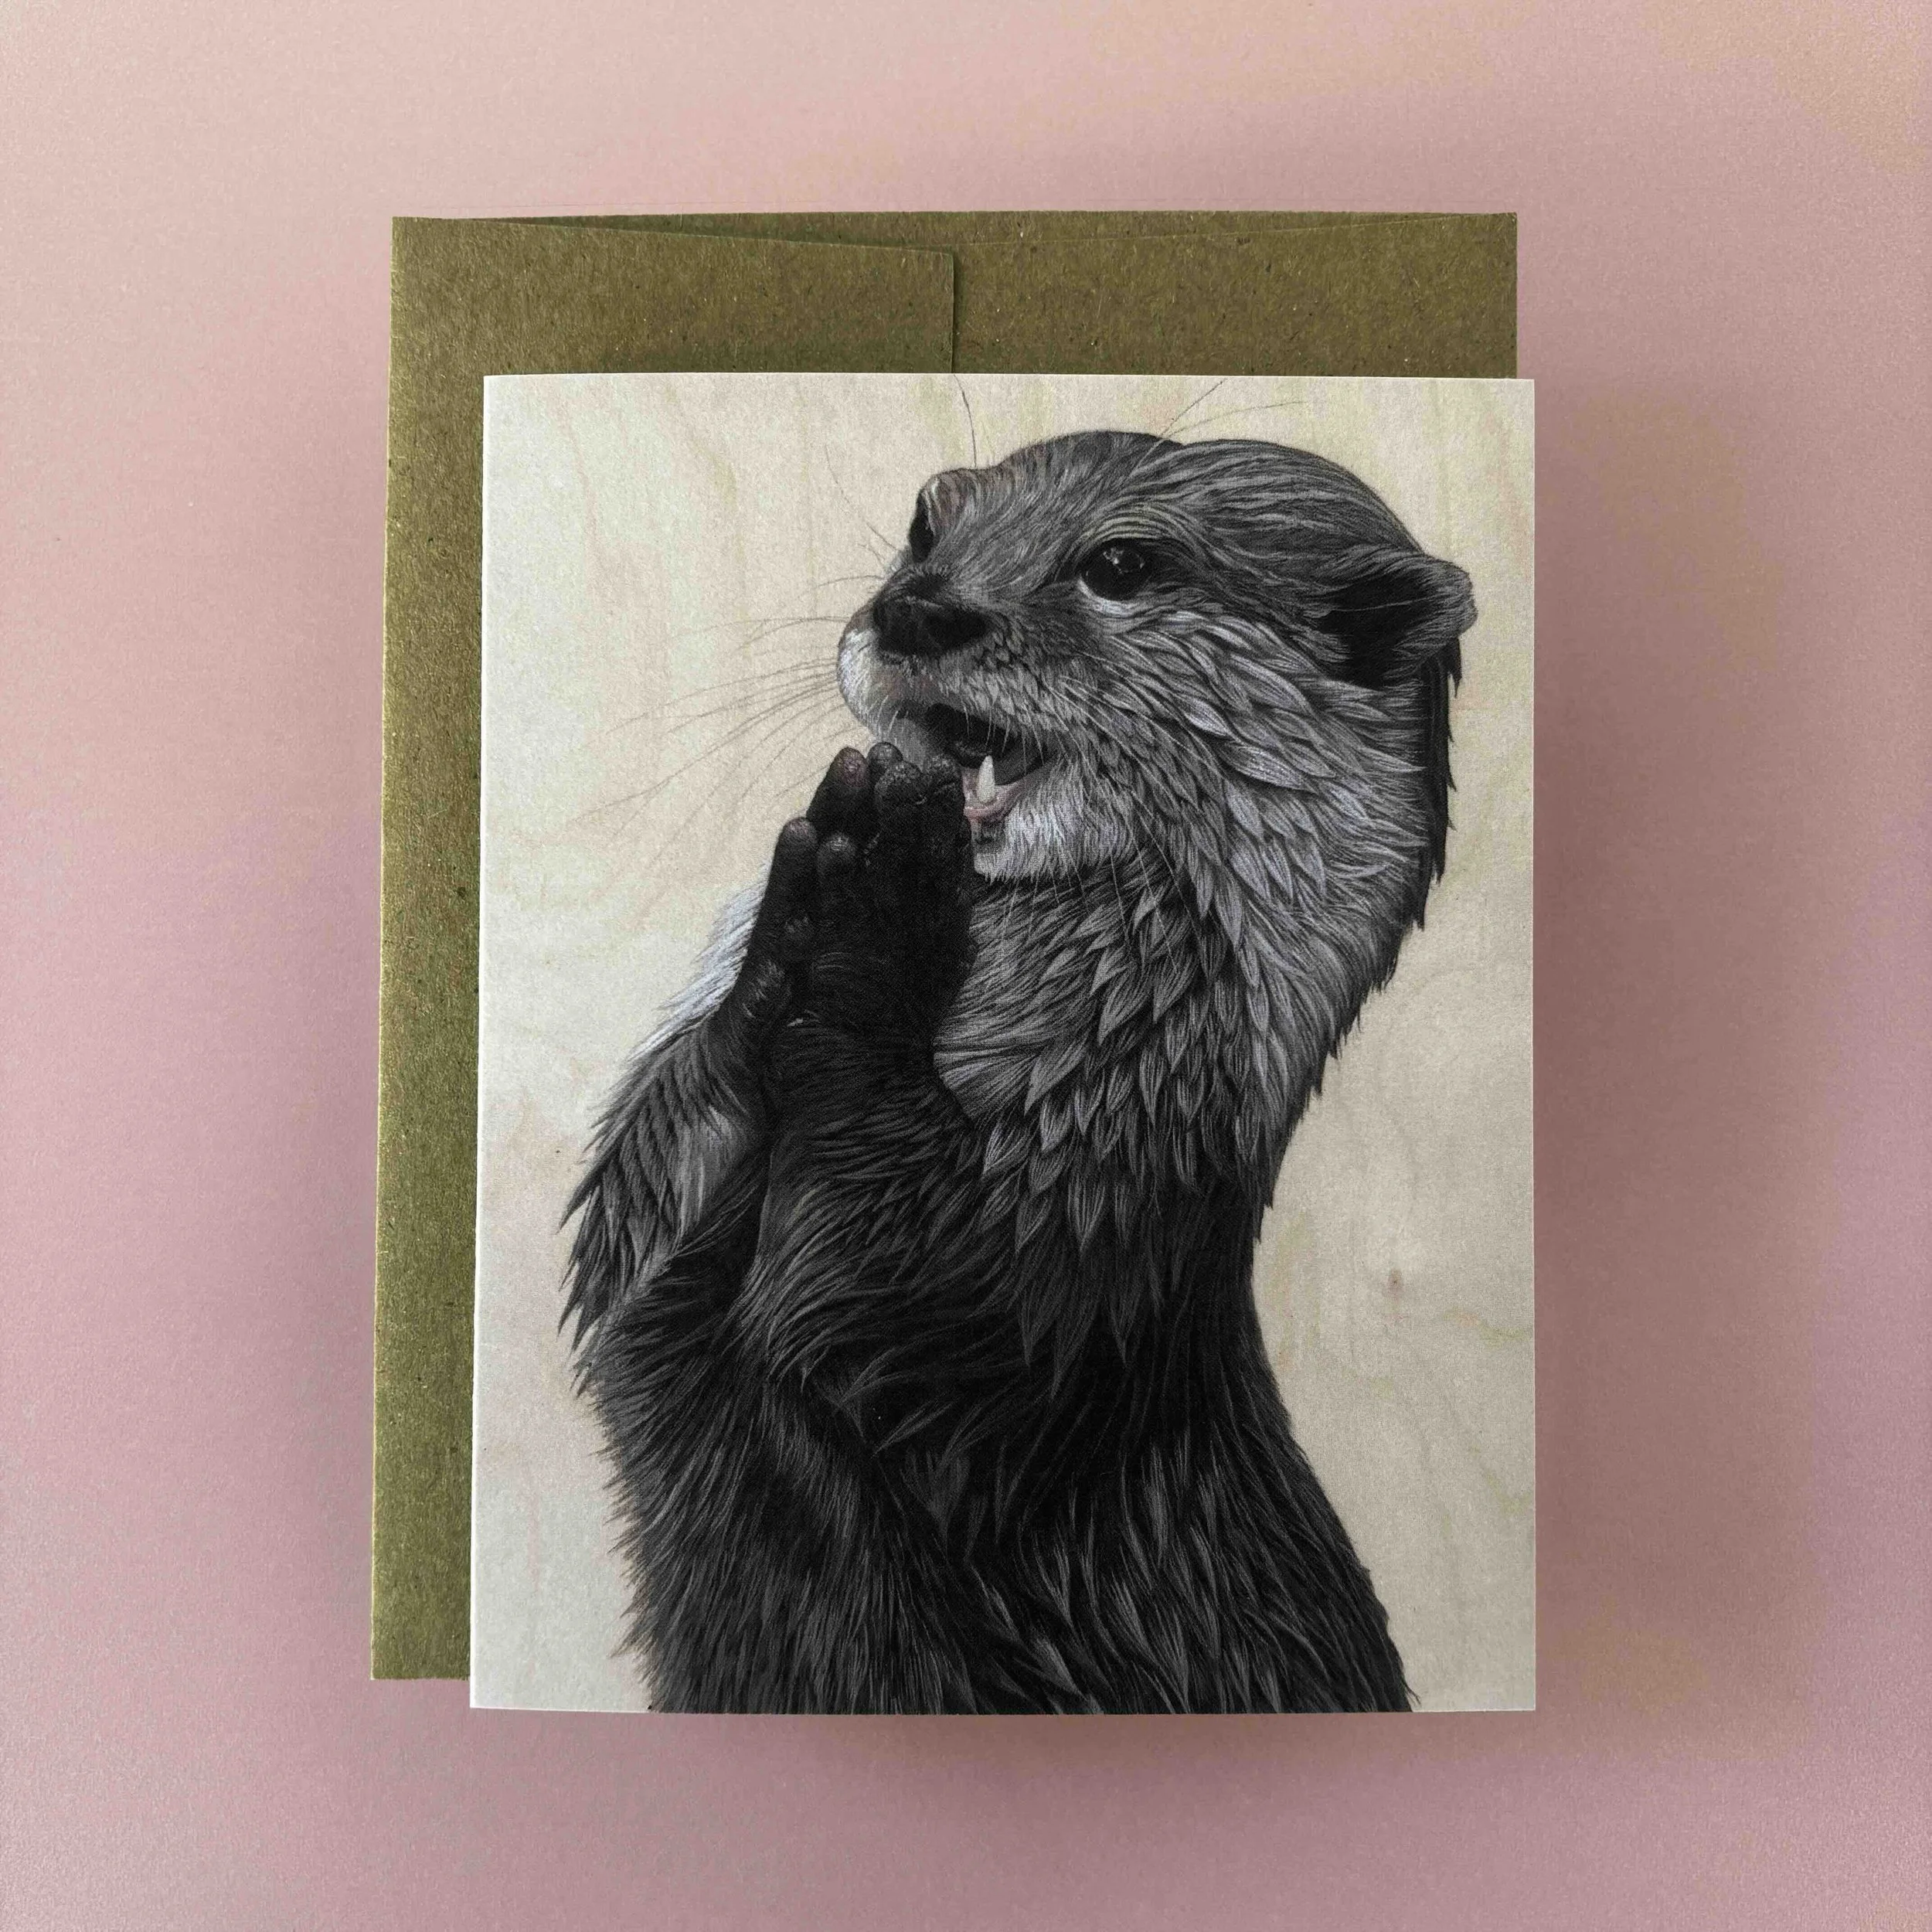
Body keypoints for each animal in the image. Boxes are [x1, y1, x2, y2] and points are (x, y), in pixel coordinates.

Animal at [563, 430, 1474, 1713]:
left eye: (1122, 564)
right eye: (925, 522)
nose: (917, 608)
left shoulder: (1061, 1239)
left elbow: (868, 1290)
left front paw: (876, 912)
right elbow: (636, 1219)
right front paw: (801, 910)